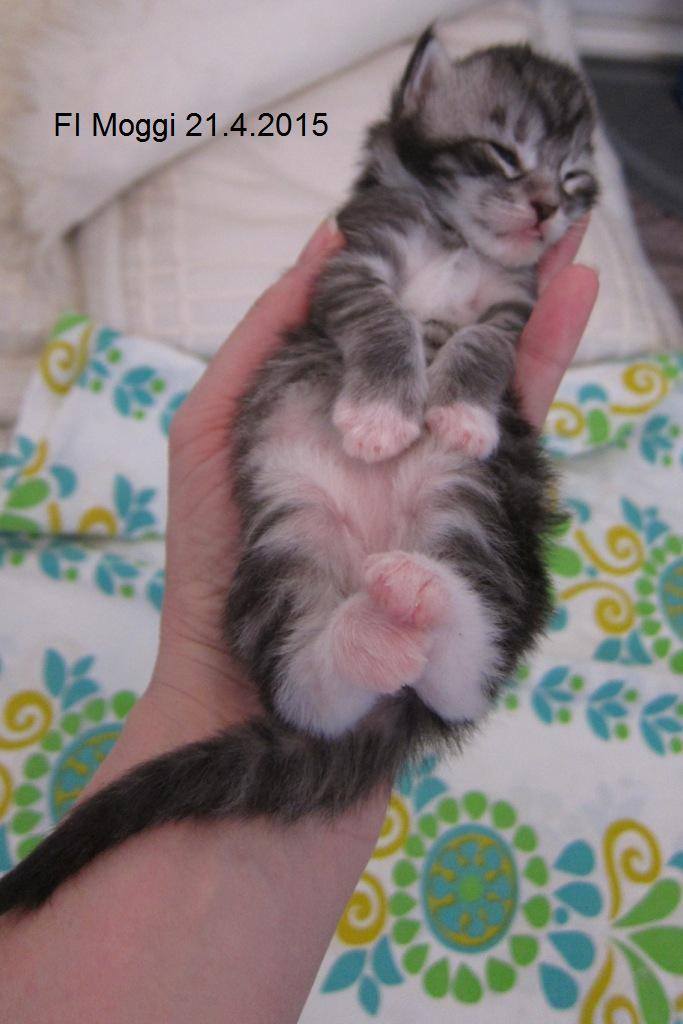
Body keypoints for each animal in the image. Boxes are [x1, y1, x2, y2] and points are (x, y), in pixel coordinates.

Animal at [0, 30, 598, 914]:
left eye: (575, 178)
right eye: (501, 152)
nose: (546, 209)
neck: (454, 240)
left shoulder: (510, 305)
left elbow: (484, 343)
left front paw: (459, 410)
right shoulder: (348, 264)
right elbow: (381, 316)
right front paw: (382, 413)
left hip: (476, 514)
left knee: (463, 679)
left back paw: (419, 604)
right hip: (282, 538)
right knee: (307, 690)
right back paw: (371, 634)